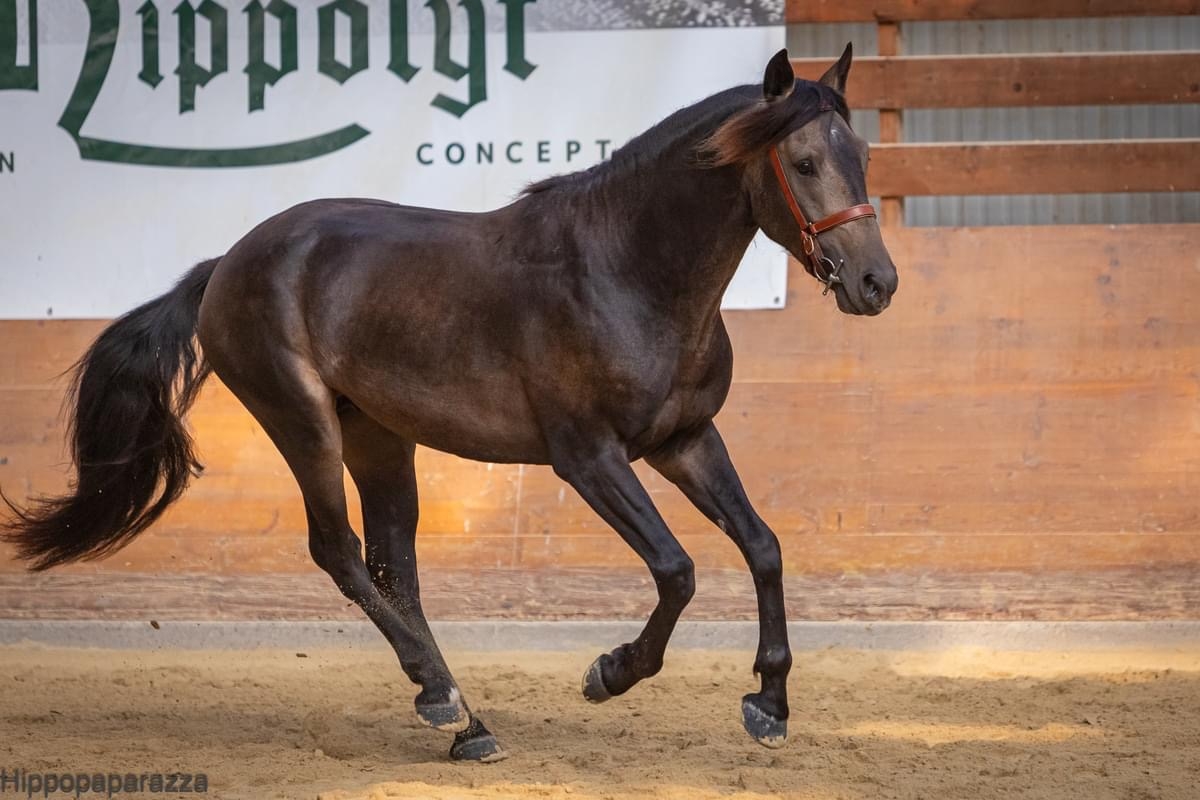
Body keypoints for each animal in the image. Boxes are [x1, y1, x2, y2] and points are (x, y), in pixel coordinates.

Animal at [2, 46, 896, 762]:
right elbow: (676, 571)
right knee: (340, 554)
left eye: (862, 157)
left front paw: (769, 706)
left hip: (378, 437)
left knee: (394, 568)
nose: (876, 284)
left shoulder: (685, 439)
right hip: (303, 425)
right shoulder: (588, 458)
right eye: (804, 162)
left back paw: (467, 722)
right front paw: (609, 672)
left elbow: (763, 546)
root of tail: (225, 264)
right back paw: (444, 701)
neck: (625, 270)